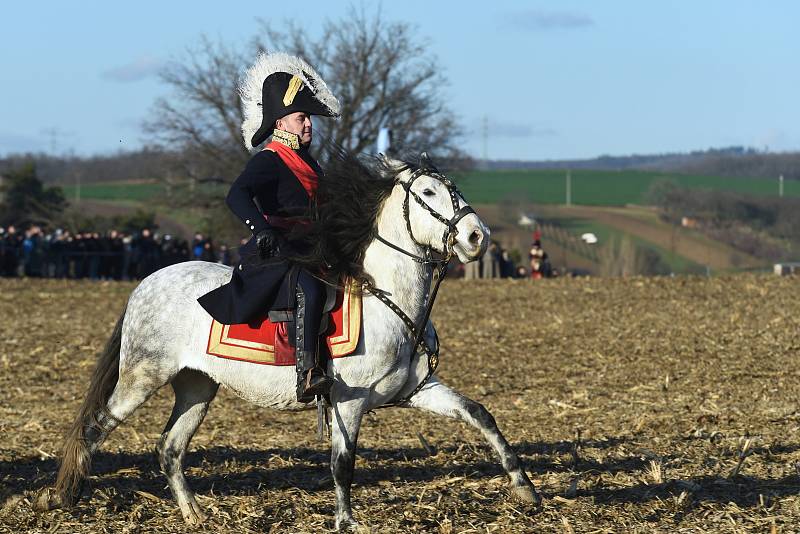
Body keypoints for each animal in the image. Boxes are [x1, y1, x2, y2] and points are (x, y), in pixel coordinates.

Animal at [36, 155, 536, 532]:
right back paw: (63, 497)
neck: (387, 296)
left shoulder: (416, 391)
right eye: (428, 194)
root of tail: (146, 283)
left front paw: (525, 487)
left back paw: (195, 515)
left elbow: (481, 415)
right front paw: (346, 522)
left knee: (170, 448)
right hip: (142, 377)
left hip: (197, 385)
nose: (477, 237)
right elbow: (342, 463)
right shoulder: (348, 402)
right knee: (96, 428)